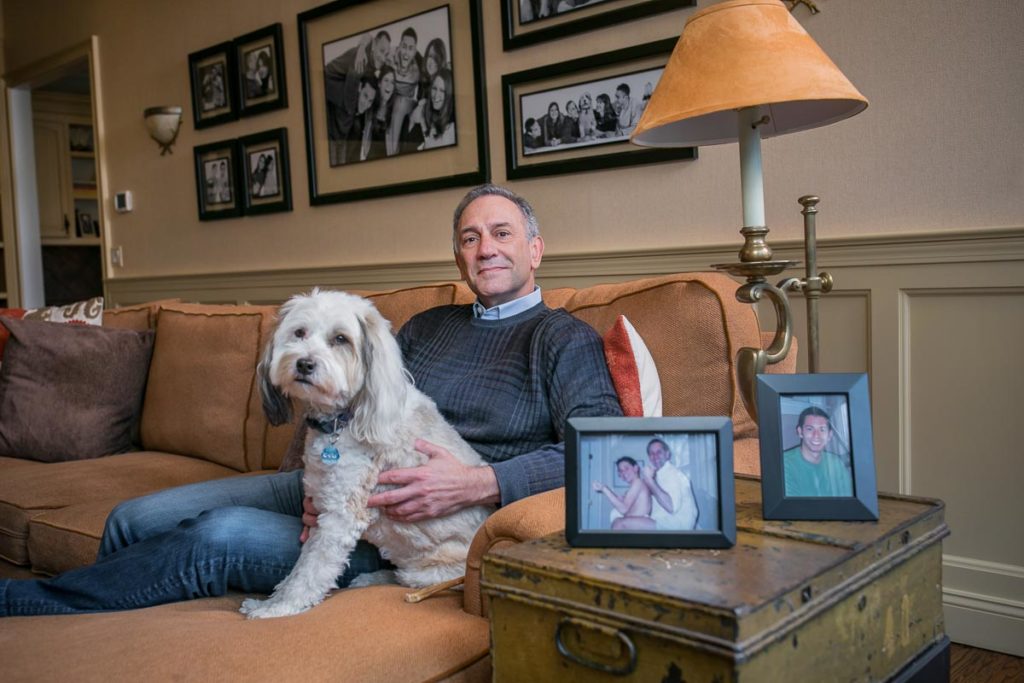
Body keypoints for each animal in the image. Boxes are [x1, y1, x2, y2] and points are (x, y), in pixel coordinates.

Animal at [241, 288, 493, 618]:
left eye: (340, 339)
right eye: (299, 333)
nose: (305, 364)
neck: (342, 420)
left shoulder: (341, 514)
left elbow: (310, 570)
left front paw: (279, 607)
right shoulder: (321, 502)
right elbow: (303, 562)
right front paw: (273, 598)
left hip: (430, 571)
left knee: (408, 579)